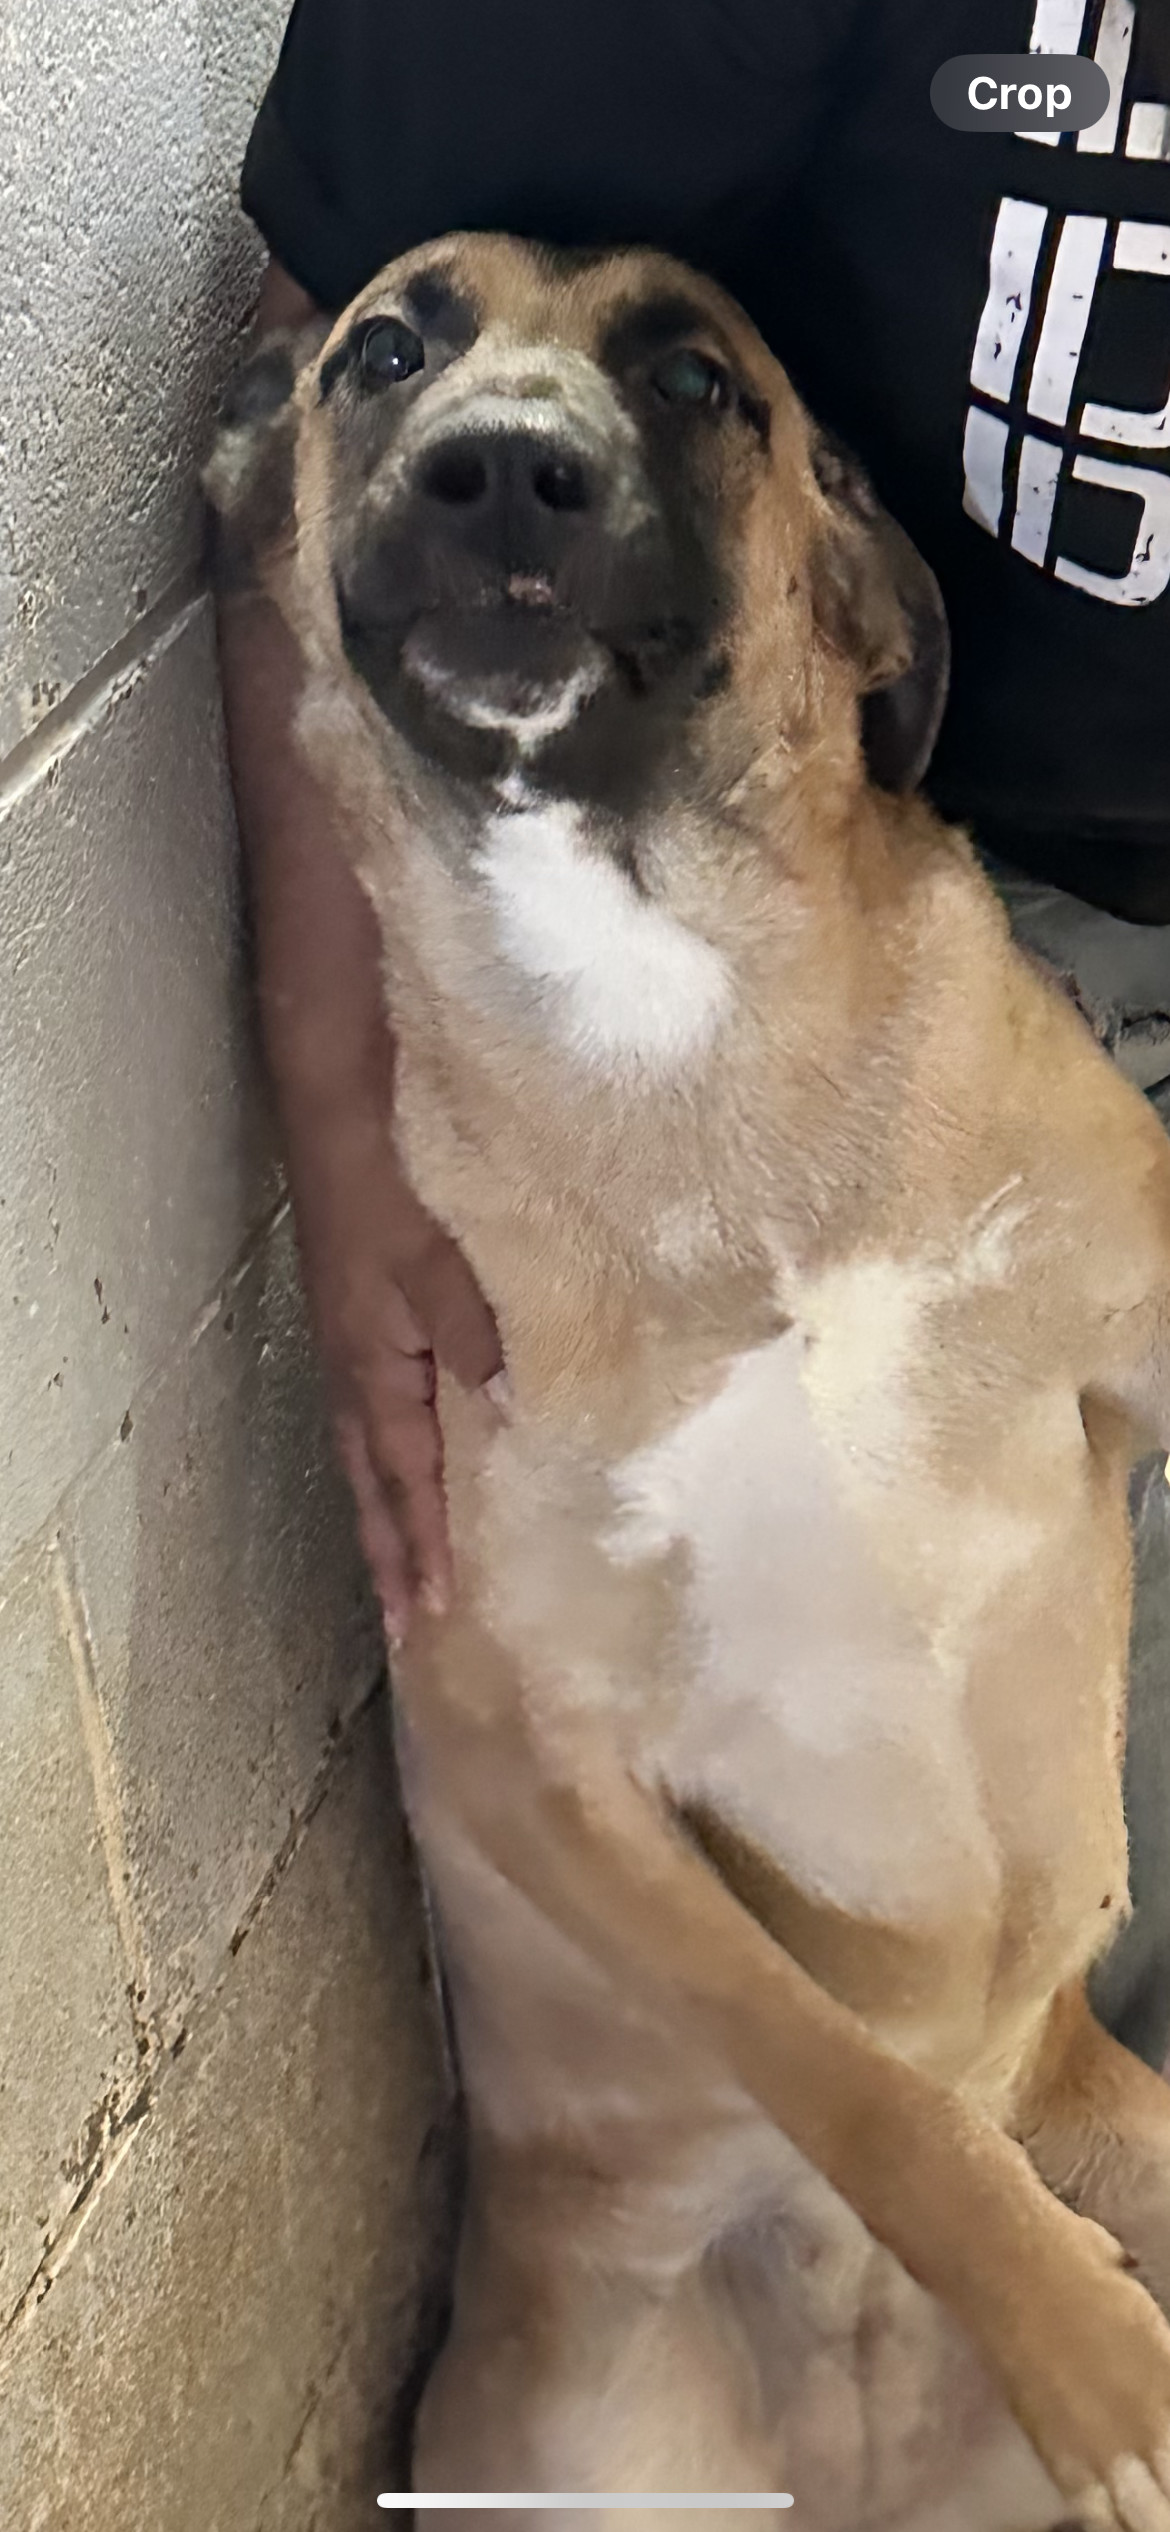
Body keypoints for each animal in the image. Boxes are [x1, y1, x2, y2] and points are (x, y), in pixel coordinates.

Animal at [212, 227, 1170, 2521]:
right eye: (385, 349)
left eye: (700, 378)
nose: (500, 467)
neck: (675, 1033)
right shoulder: (547, 1770)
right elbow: (865, 2090)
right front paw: (1091, 2356)